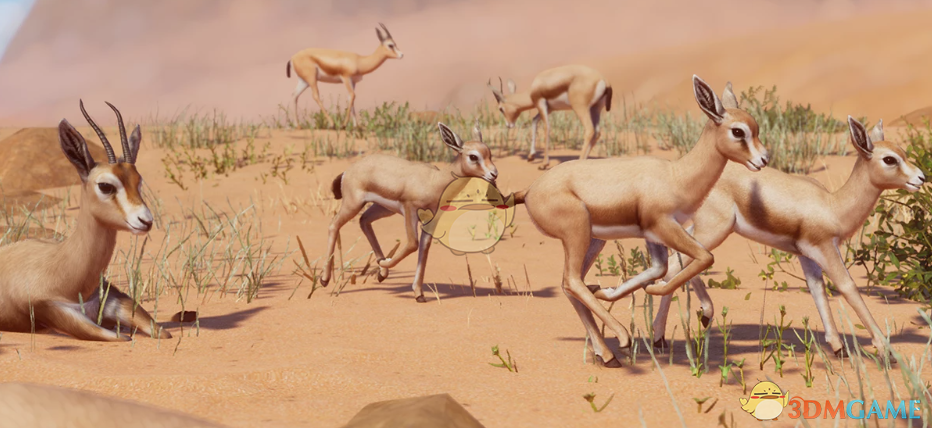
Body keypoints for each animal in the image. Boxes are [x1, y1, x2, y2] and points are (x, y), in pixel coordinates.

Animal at [0, 101, 171, 342]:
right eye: (106, 185)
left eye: (138, 181)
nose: (145, 221)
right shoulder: (54, 311)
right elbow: (121, 337)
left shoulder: (113, 296)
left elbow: (161, 332)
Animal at [319, 122, 499, 302]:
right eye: (473, 156)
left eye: (489, 153)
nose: (494, 174)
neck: (435, 181)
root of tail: (348, 171)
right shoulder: (410, 210)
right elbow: (413, 244)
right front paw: (388, 265)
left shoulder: (431, 220)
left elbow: (424, 248)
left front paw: (419, 293)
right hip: (353, 204)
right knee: (334, 225)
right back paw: (325, 279)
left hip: (383, 208)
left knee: (364, 220)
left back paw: (382, 272)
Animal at [514, 76, 769, 367]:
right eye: (738, 131)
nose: (763, 160)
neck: (677, 176)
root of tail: (529, 190)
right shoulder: (663, 226)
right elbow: (704, 257)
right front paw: (658, 296)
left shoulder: (654, 236)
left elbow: (661, 268)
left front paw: (609, 292)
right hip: (576, 233)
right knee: (572, 281)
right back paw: (623, 338)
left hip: (595, 239)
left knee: (569, 284)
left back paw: (607, 354)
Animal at [648, 115, 926, 360]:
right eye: (889, 159)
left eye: (903, 152)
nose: (921, 178)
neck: (833, 206)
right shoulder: (826, 249)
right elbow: (848, 287)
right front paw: (886, 351)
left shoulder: (808, 256)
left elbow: (817, 291)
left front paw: (839, 348)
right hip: (714, 229)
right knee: (680, 264)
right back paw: (660, 338)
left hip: (704, 229)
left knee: (680, 257)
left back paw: (700, 317)